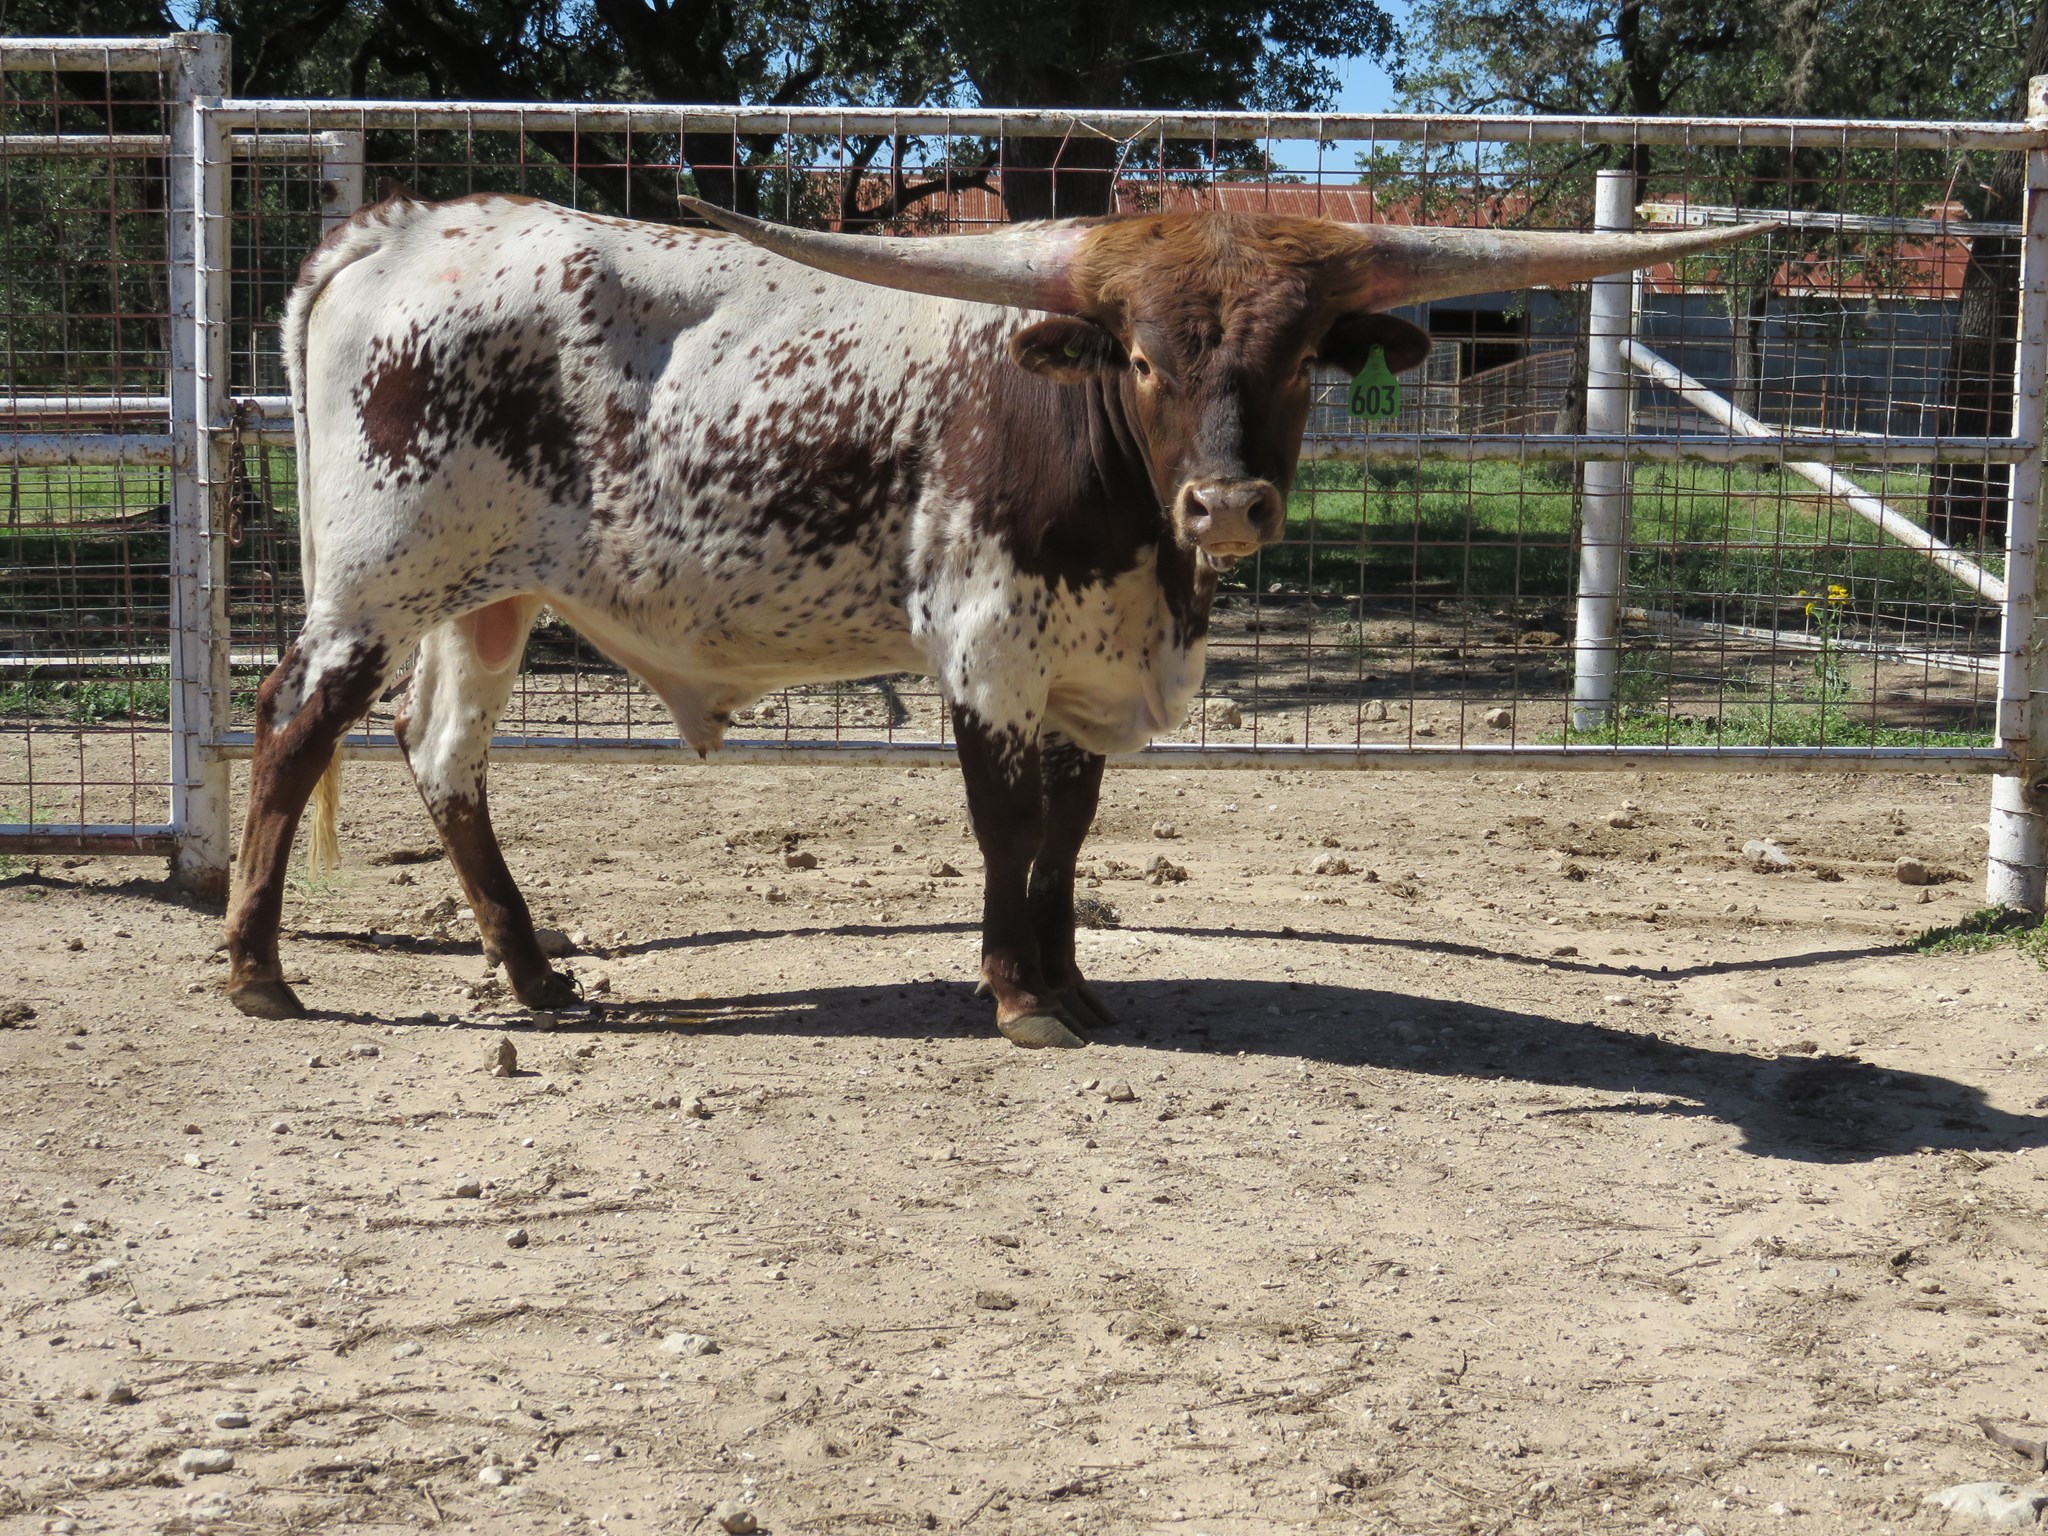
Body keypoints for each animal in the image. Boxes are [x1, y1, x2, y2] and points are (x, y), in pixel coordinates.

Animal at [223, 190, 1766, 1047]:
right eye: (1141, 356)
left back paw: (537, 977)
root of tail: (399, 229)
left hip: (493, 599)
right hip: (372, 586)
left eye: (1295, 362)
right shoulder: (985, 653)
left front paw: (1076, 985)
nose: (1227, 507)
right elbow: (1007, 829)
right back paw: (257, 973)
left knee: (445, 758)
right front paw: (1017, 998)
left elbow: (1068, 837)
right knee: (292, 724)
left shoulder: (1088, 672)